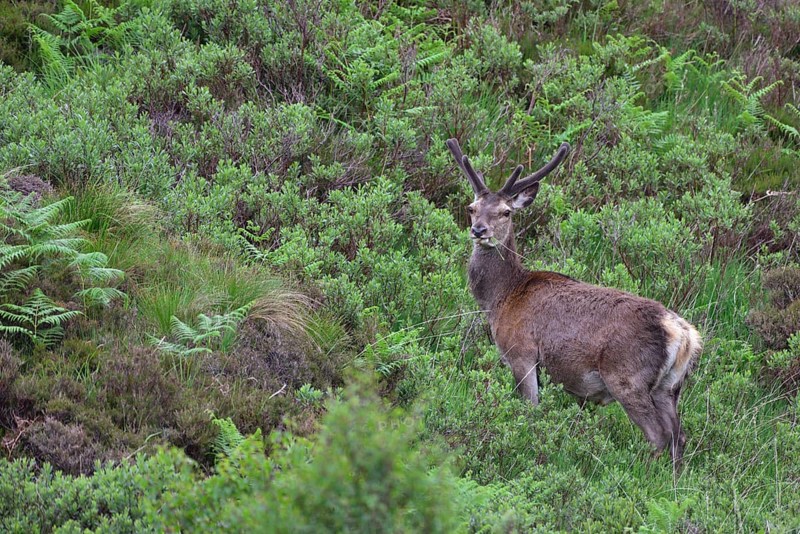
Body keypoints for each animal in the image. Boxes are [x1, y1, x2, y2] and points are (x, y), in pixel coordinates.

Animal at [446, 138, 702, 466]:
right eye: (472, 208)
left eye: (505, 212)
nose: (479, 230)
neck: (501, 297)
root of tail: (684, 335)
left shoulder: (521, 353)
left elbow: (531, 410)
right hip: (671, 386)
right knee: (678, 437)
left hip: (627, 377)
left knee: (659, 435)